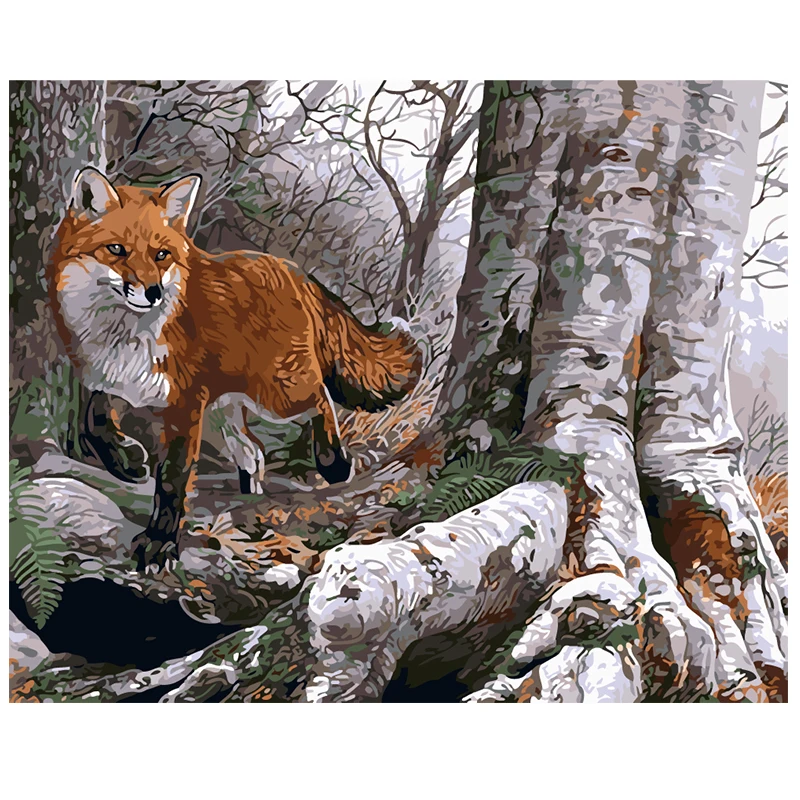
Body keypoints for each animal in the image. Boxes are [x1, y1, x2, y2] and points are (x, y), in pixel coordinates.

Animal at [49, 168, 422, 567]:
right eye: (117, 250)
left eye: (161, 255)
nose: (152, 293)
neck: (124, 336)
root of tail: (292, 270)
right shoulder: (114, 380)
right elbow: (93, 421)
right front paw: (127, 462)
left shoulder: (184, 405)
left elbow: (173, 479)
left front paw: (159, 542)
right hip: (223, 410)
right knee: (253, 452)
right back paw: (249, 500)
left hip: (276, 395)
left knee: (321, 398)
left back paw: (333, 463)